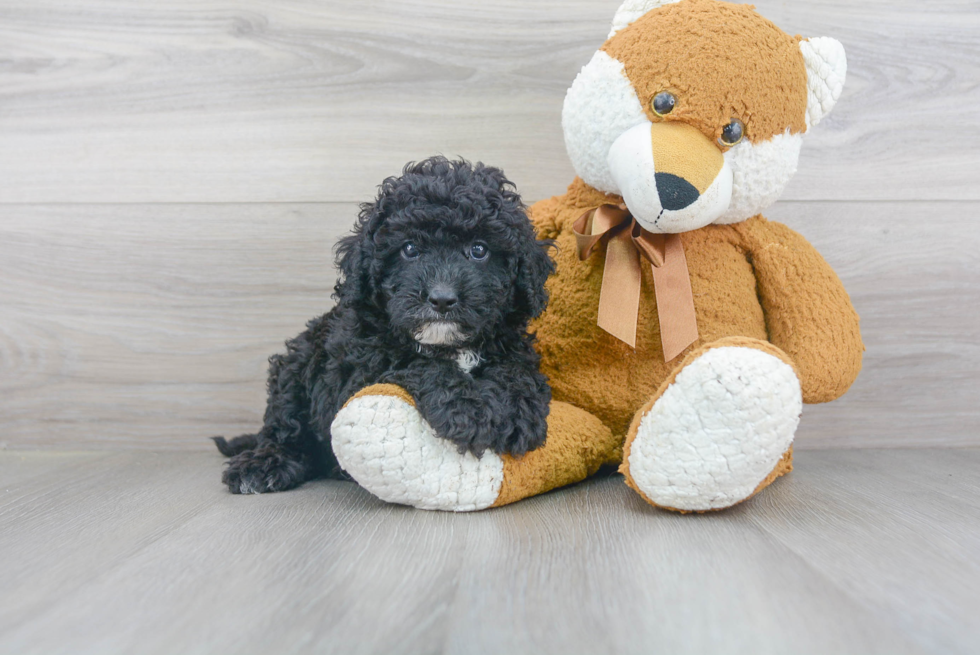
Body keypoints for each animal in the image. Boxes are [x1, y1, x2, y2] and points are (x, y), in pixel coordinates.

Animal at [212, 159, 556, 494]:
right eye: (409, 249)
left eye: (479, 250)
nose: (442, 299)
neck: (450, 345)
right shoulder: (360, 367)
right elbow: (417, 362)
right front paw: (469, 411)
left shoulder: (509, 342)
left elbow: (516, 371)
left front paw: (517, 411)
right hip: (296, 364)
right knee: (283, 426)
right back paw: (265, 464)